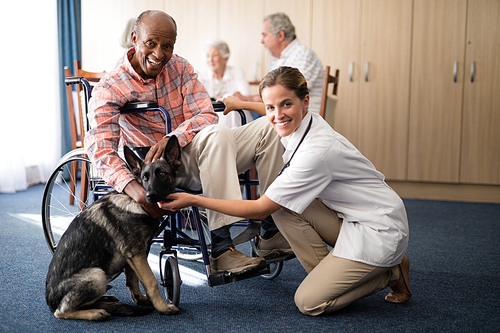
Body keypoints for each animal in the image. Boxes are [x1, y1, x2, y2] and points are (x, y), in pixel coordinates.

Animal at [46, 136, 183, 320]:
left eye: (162, 174)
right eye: (144, 178)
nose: (149, 196)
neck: (133, 202)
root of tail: (50, 303)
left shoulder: (134, 255)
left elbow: (134, 280)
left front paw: (140, 299)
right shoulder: (136, 253)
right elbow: (151, 282)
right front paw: (162, 307)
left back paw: (105, 300)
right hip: (97, 275)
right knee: (62, 312)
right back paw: (94, 312)